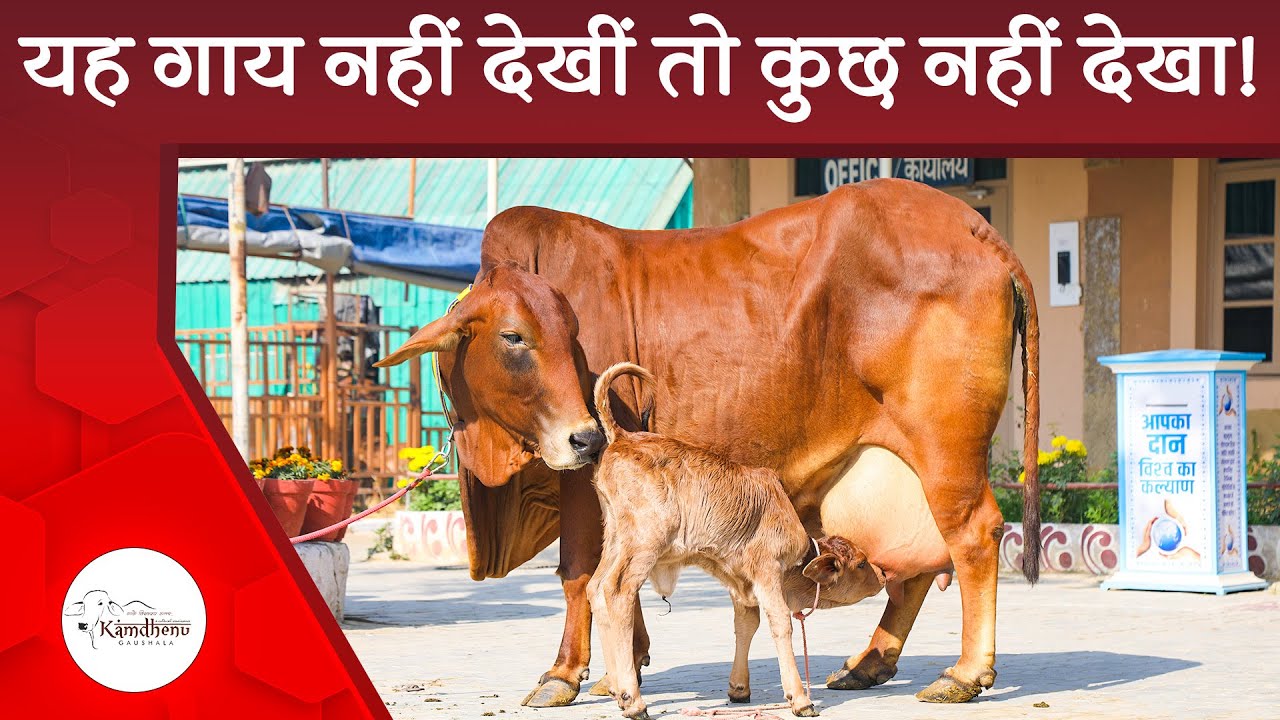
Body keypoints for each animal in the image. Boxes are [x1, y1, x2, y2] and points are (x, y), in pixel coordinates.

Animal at [375, 178, 1041, 707]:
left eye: (571, 333)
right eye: (513, 335)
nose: (584, 436)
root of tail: (975, 226)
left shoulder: (581, 483)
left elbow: (577, 572)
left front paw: (565, 674)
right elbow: (615, 579)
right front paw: (626, 665)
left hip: (945, 449)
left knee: (973, 536)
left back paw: (964, 673)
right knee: (918, 563)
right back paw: (869, 664)